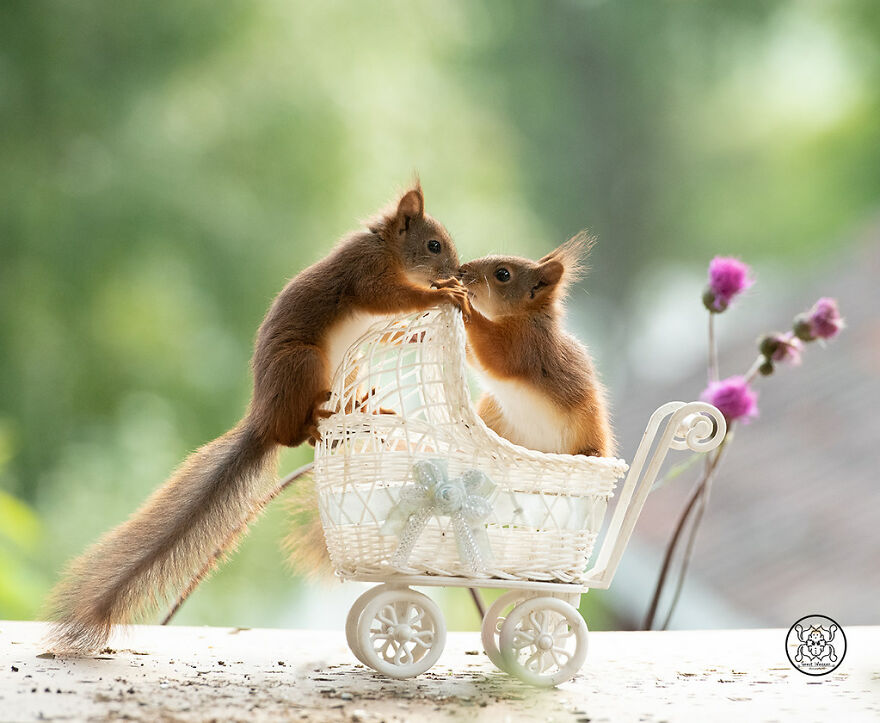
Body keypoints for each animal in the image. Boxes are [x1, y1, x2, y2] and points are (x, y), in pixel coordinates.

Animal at [47, 181, 468, 654]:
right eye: (434, 245)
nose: (458, 269)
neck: (387, 248)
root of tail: (263, 420)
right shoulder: (365, 273)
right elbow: (391, 297)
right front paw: (445, 293)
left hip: (344, 369)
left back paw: (365, 407)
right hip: (303, 362)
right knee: (294, 435)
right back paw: (318, 417)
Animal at [458, 235, 615, 457]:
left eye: (503, 274)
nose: (462, 270)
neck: (526, 315)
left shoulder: (526, 345)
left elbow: (495, 356)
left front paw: (464, 300)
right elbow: (473, 356)